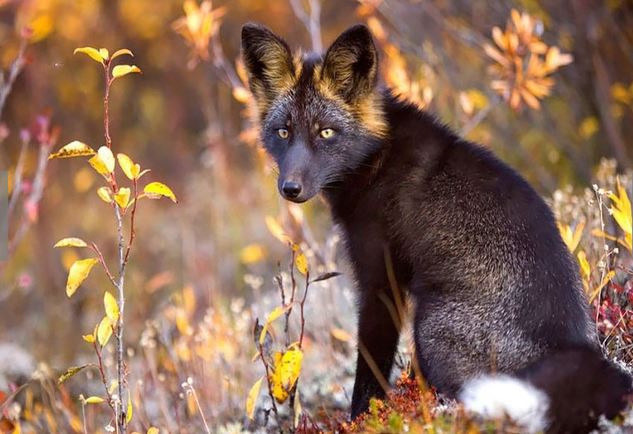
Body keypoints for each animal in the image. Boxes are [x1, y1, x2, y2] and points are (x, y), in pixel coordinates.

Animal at [239, 24, 628, 434]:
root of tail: (569, 348)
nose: (290, 188)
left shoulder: (380, 283)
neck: (377, 158)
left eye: (326, 133)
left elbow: (370, 372)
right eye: (283, 132)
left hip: (427, 326)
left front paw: (361, 420)